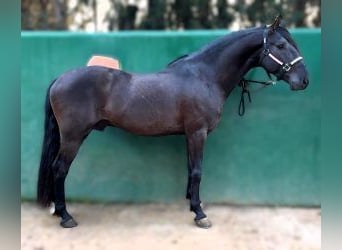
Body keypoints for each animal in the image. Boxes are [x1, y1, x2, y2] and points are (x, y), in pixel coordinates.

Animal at [37, 16, 310, 229]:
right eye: (281, 45)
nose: (303, 80)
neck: (204, 75)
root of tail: (60, 79)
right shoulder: (198, 133)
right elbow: (198, 171)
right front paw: (200, 214)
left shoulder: (190, 135)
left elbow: (191, 169)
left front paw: (192, 204)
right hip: (73, 137)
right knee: (59, 169)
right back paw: (65, 216)